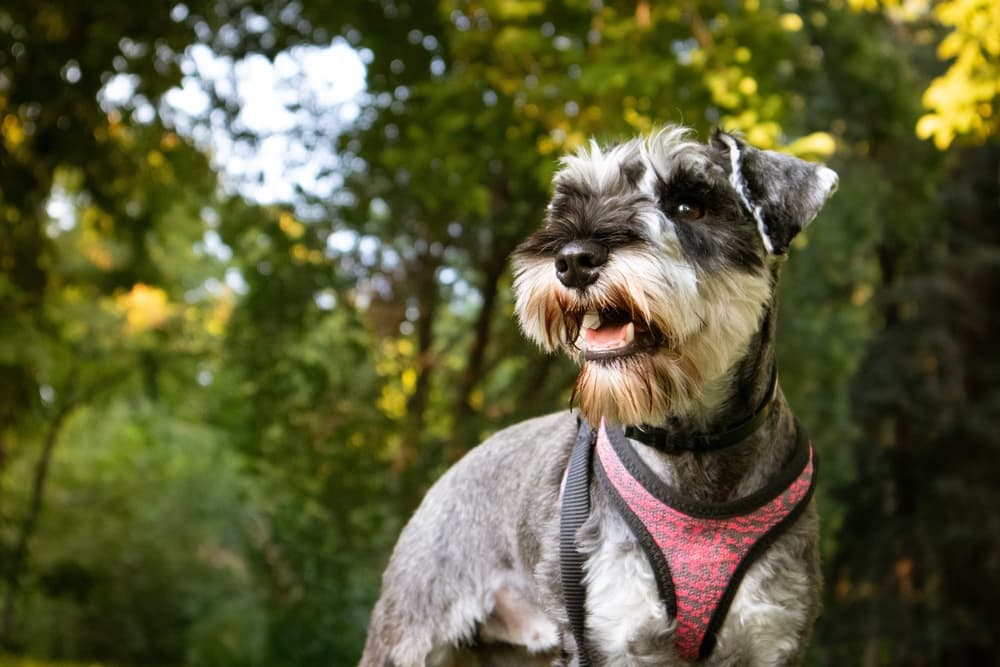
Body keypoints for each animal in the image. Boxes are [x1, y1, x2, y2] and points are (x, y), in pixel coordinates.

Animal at [360, 124, 836, 664]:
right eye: (571, 201)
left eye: (688, 204)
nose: (573, 261)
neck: (694, 445)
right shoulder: (611, 637)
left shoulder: (770, 638)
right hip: (409, 636)